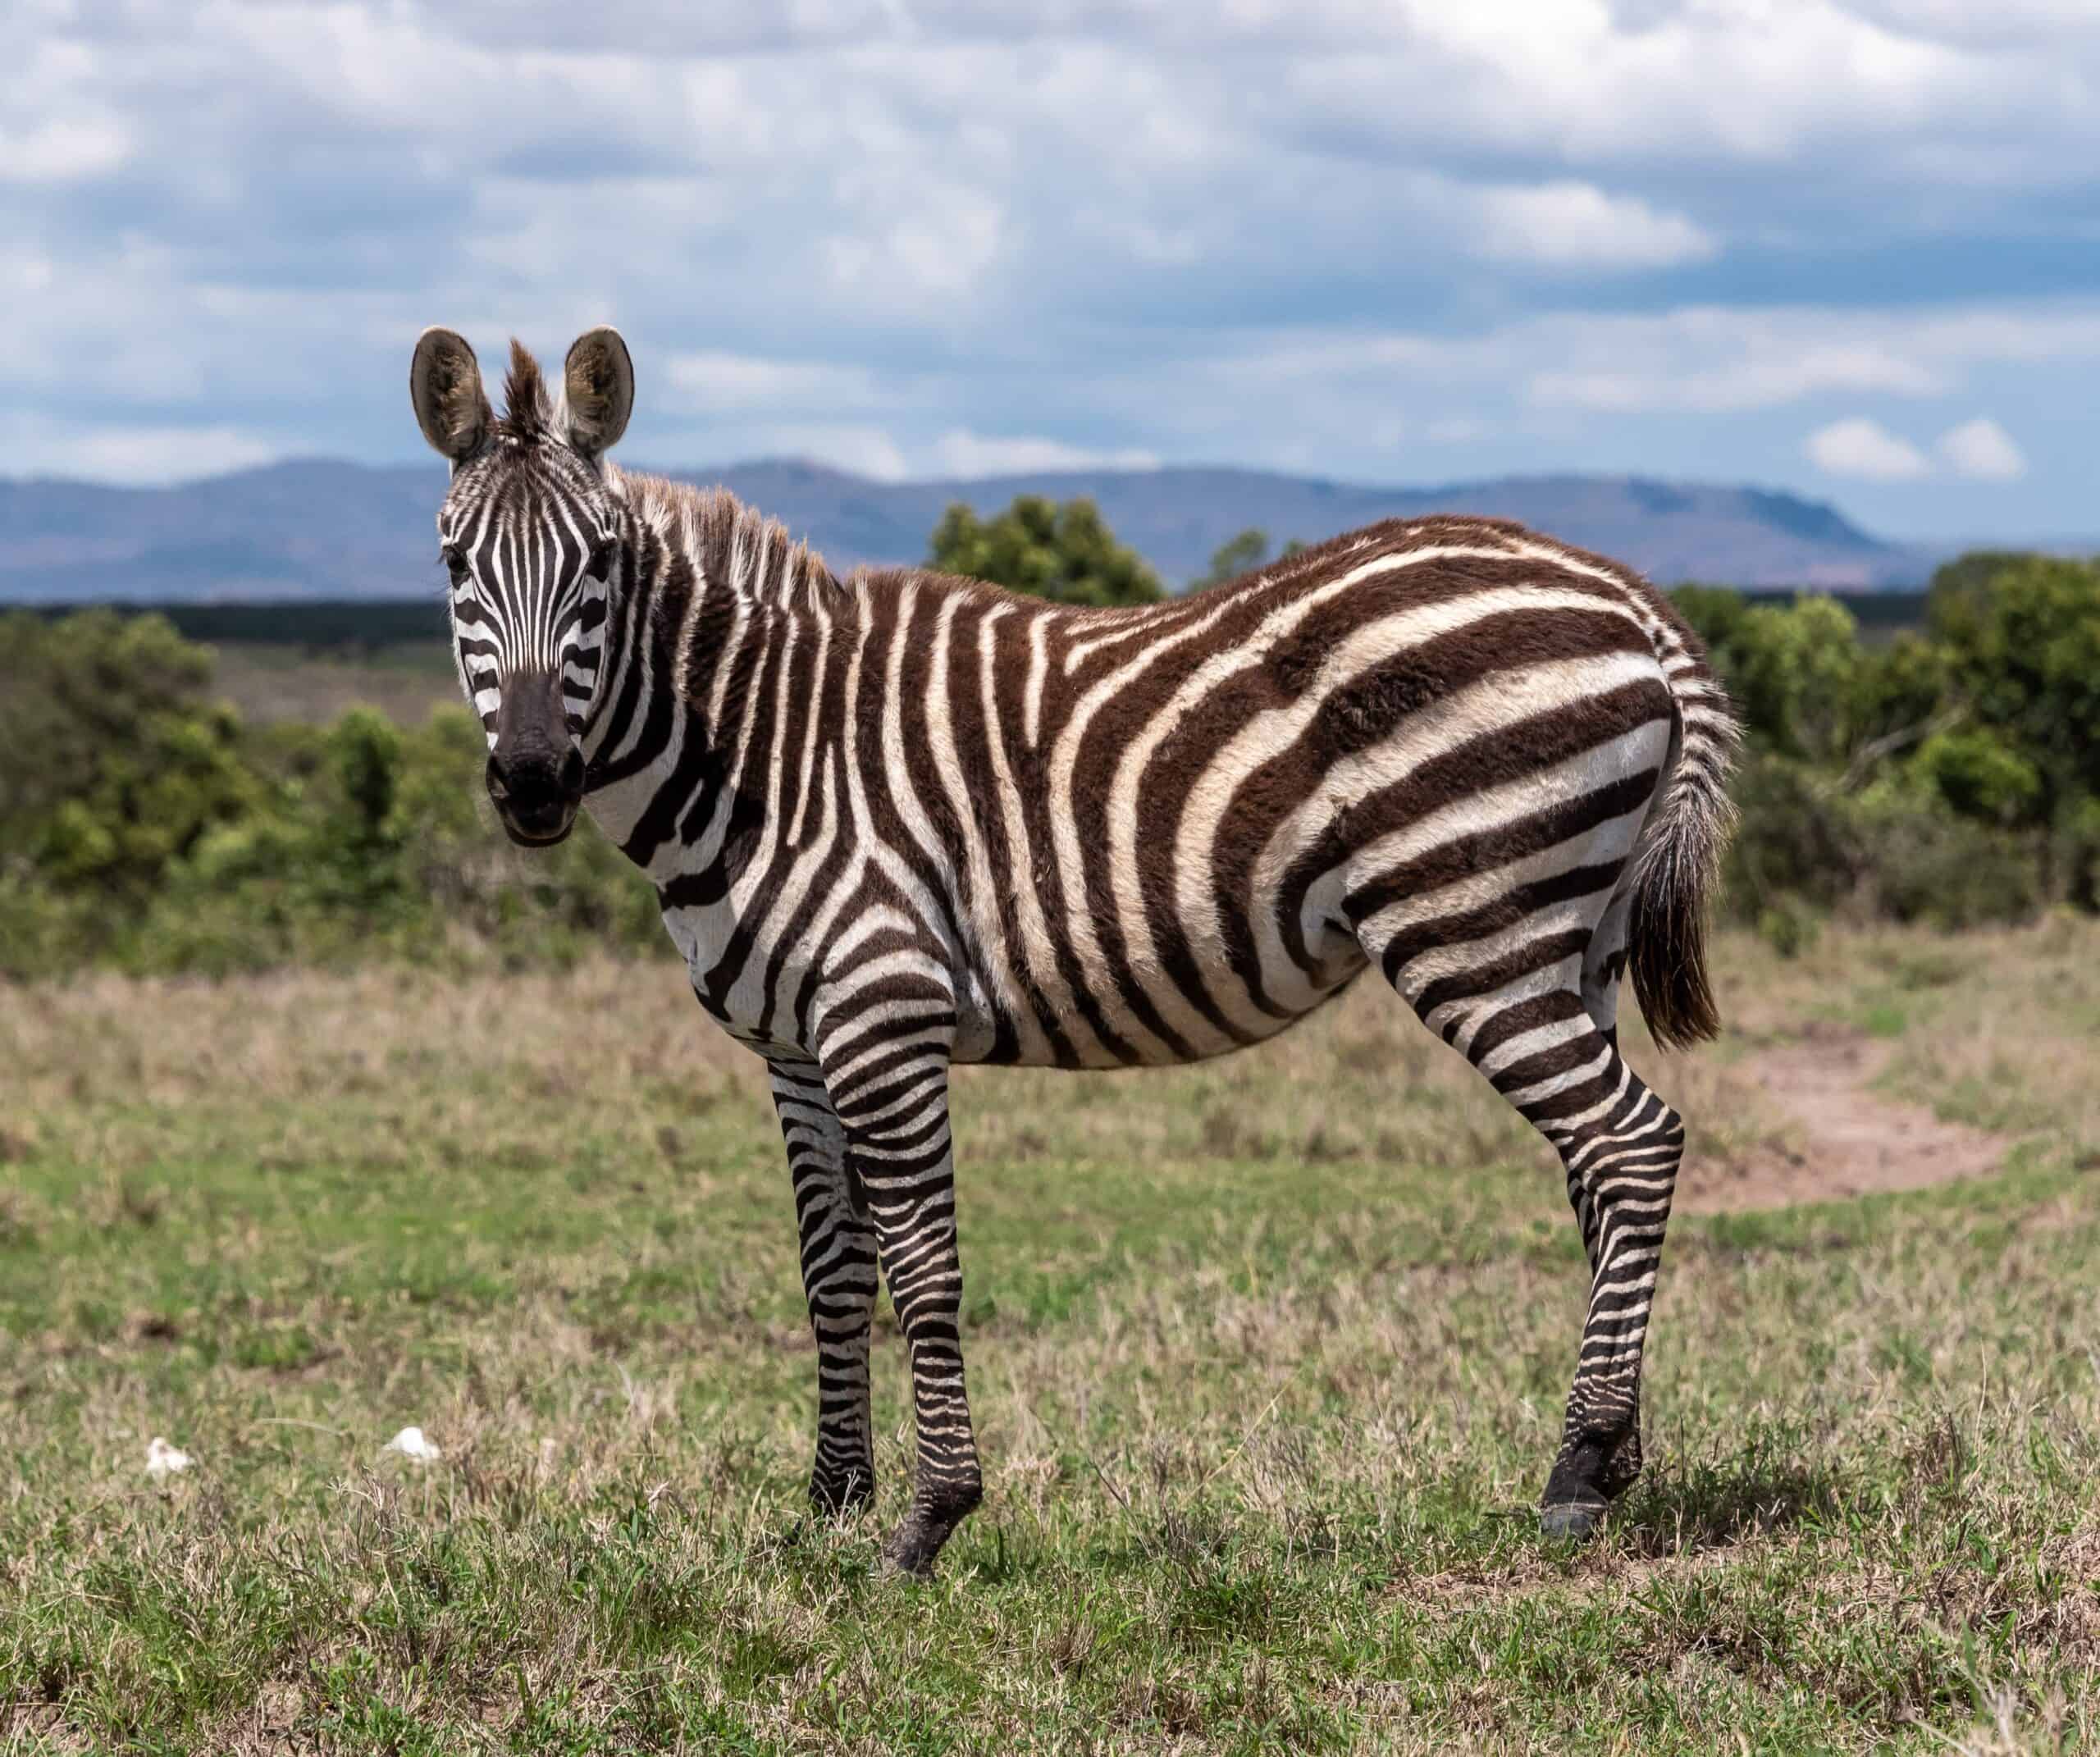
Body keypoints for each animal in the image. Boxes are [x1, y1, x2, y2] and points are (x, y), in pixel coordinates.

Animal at [409, 325, 1739, 1574]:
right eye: (455, 564)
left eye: (600, 565)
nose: (532, 782)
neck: (759, 750)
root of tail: (1626, 597)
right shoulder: (792, 1045)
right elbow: (831, 1266)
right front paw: (833, 1504)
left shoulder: (883, 1012)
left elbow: (922, 1264)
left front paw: (928, 1522)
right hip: (1570, 937)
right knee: (1594, 1168)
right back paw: (1615, 1457)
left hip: (1473, 924)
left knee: (1632, 1143)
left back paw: (1575, 1470)